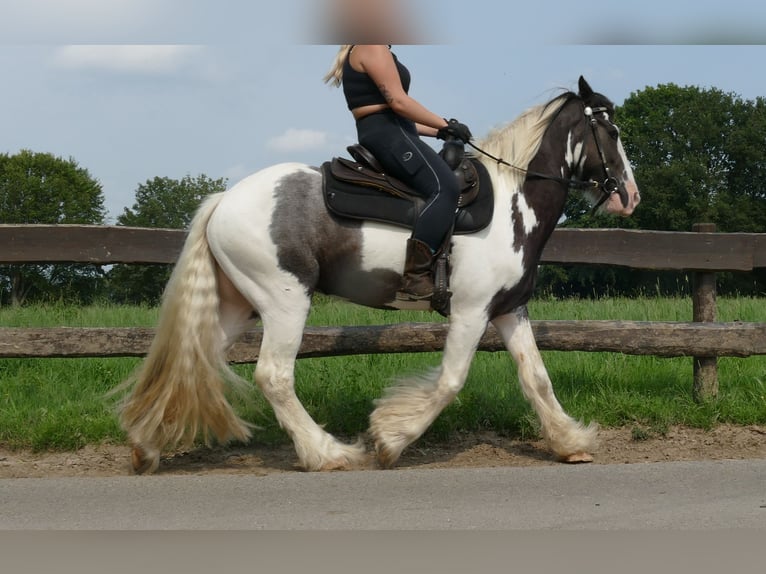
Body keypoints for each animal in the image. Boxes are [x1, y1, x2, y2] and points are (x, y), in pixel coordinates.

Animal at [118, 76, 640, 474]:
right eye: (611, 130)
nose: (629, 195)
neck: (514, 205)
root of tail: (223, 200)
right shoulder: (472, 312)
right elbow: (451, 381)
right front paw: (391, 439)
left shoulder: (510, 310)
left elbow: (536, 378)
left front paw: (571, 442)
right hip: (285, 300)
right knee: (273, 375)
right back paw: (326, 452)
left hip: (237, 305)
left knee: (194, 362)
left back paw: (146, 446)